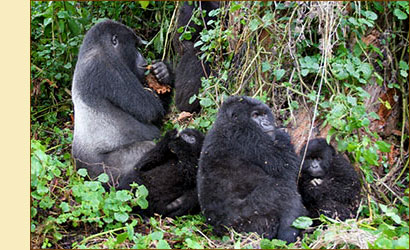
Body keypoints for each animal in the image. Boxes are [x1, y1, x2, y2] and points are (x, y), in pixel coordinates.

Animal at [71, 19, 173, 188]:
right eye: (135, 47)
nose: (142, 57)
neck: (95, 47)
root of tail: (83, 173)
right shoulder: (108, 68)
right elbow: (150, 110)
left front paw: (164, 73)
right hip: (103, 172)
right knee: (146, 148)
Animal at [197, 95, 306, 242]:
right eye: (255, 116)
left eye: (264, 114)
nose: (266, 123)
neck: (227, 121)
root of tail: (221, 229)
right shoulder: (248, 135)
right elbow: (286, 165)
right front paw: (282, 134)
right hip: (248, 221)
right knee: (283, 190)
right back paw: (288, 234)